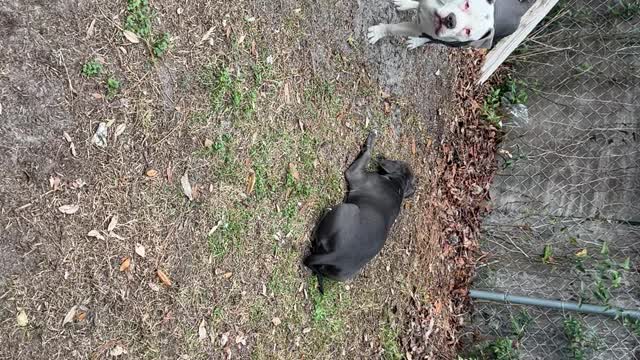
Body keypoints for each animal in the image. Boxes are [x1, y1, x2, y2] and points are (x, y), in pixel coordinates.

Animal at [304, 132, 416, 292]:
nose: (382, 156)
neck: (398, 184)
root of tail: (336, 255)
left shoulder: (354, 173)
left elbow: (367, 155)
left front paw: (371, 139)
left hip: (346, 208)